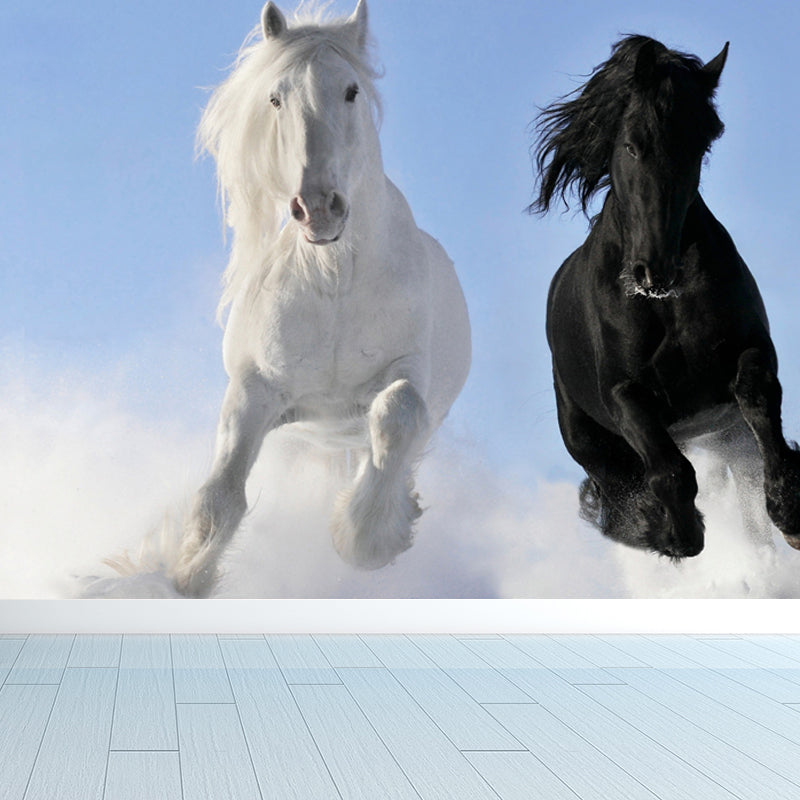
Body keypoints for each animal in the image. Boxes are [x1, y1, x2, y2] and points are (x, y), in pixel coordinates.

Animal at [170, 1, 471, 597]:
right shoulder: (255, 390)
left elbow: (398, 412)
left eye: (351, 90)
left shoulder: (409, 371)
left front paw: (364, 539)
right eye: (275, 97)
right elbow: (220, 497)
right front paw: (186, 576)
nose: (317, 208)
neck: (333, 281)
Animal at [531, 35, 800, 560]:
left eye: (699, 145)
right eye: (633, 144)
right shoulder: (624, 394)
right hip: (591, 443)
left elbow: (757, 398)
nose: (653, 270)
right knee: (620, 491)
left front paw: (790, 509)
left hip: (726, 436)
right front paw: (675, 531)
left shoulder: (751, 351)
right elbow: (670, 472)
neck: (664, 304)